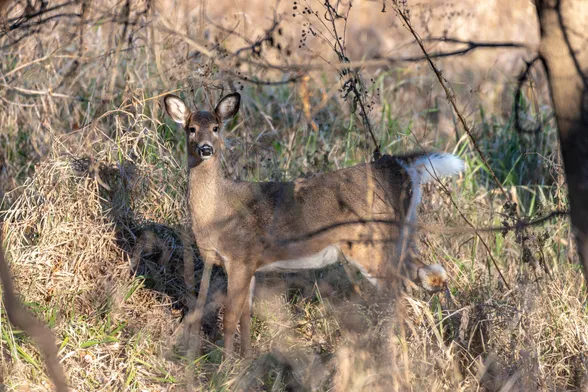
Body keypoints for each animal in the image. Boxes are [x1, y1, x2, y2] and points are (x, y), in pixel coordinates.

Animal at [164, 91, 464, 356]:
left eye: (216, 128)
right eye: (191, 129)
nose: (205, 148)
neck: (217, 213)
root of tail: (402, 167)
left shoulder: (239, 257)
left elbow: (229, 317)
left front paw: (225, 369)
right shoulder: (250, 264)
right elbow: (245, 317)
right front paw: (246, 361)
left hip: (372, 245)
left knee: (401, 297)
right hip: (399, 239)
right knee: (432, 276)